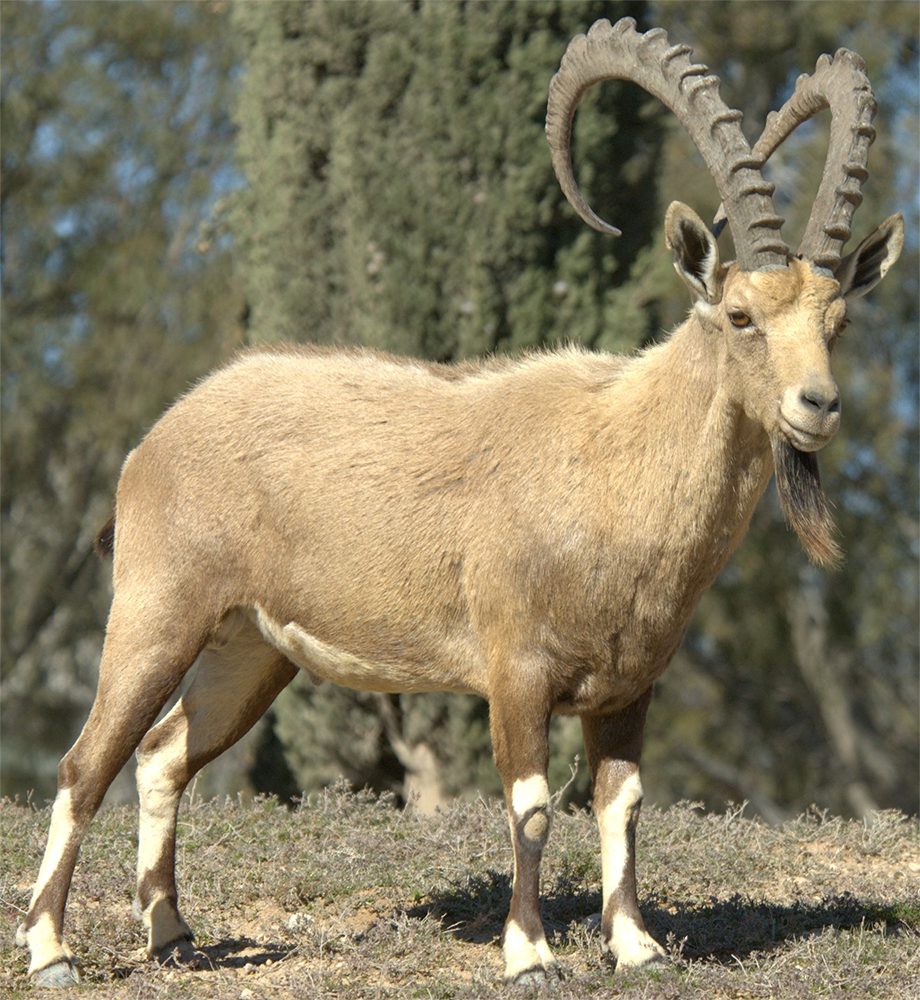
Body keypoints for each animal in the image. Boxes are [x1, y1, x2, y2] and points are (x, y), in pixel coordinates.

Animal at [18, 15, 904, 984]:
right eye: (742, 315)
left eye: (837, 322)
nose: (817, 406)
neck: (614, 464)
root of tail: (155, 441)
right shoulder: (515, 670)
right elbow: (531, 805)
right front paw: (530, 955)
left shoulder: (629, 687)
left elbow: (623, 804)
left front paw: (635, 947)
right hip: (157, 612)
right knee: (84, 763)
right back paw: (50, 949)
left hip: (248, 649)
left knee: (162, 754)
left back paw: (172, 934)